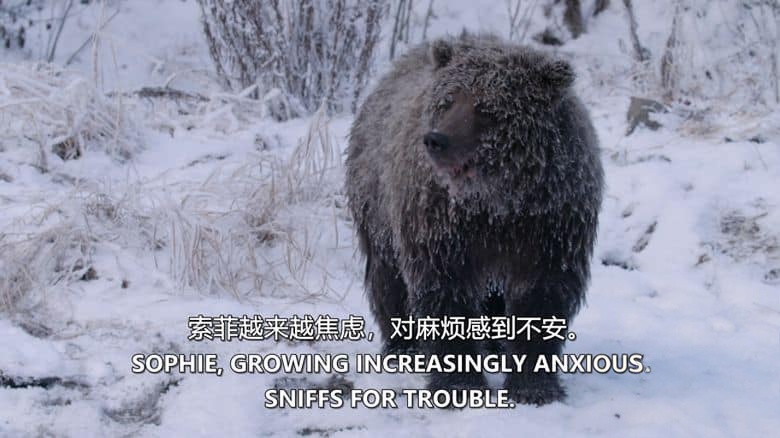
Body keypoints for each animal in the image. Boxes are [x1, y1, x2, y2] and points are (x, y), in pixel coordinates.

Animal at [344, 34, 604, 406]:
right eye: (448, 100)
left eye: (487, 108)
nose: (436, 139)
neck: (496, 199)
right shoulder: (441, 223)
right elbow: (445, 290)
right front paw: (459, 384)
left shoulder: (550, 221)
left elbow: (542, 294)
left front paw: (534, 386)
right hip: (377, 204)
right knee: (388, 277)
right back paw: (402, 347)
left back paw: (495, 345)